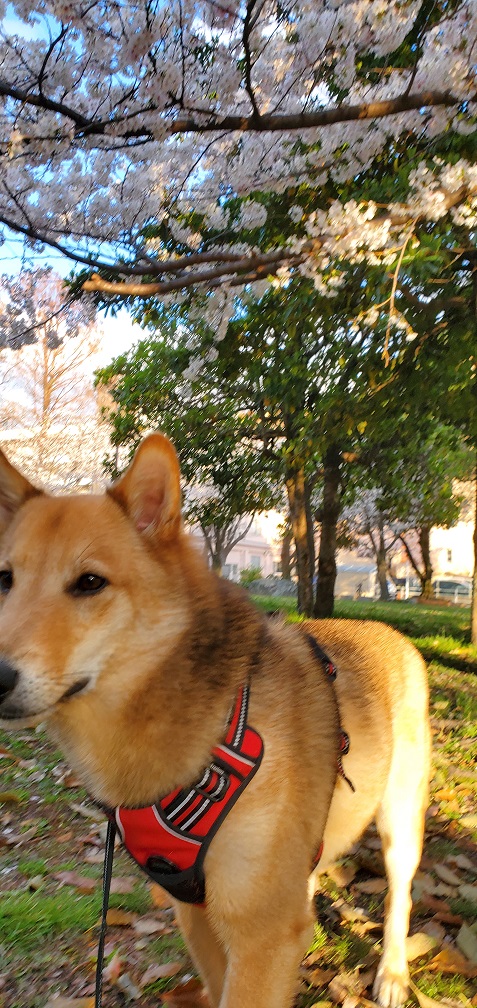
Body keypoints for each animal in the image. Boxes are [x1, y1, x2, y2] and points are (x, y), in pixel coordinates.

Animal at [0, 431, 429, 1008]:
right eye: (4, 579)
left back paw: (393, 973)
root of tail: (392, 634)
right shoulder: (198, 911)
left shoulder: (259, 932)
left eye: (89, 582)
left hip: (399, 824)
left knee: (399, 898)